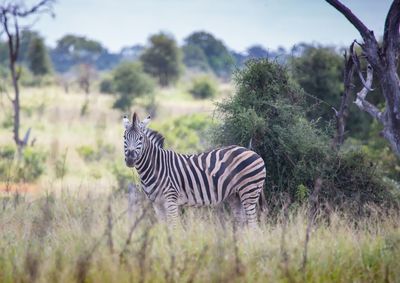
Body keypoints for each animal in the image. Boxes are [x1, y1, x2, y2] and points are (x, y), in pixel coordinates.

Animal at [122, 113, 266, 226]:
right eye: (124, 137)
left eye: (140, 138)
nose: (130, 159)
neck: (156, 166)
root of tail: (251, 151)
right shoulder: (157, 203)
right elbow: (164, 229)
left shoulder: (171, 200)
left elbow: (174, 227)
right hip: (235, 196)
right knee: (242, 223)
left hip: (249, 192)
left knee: (253, 225)